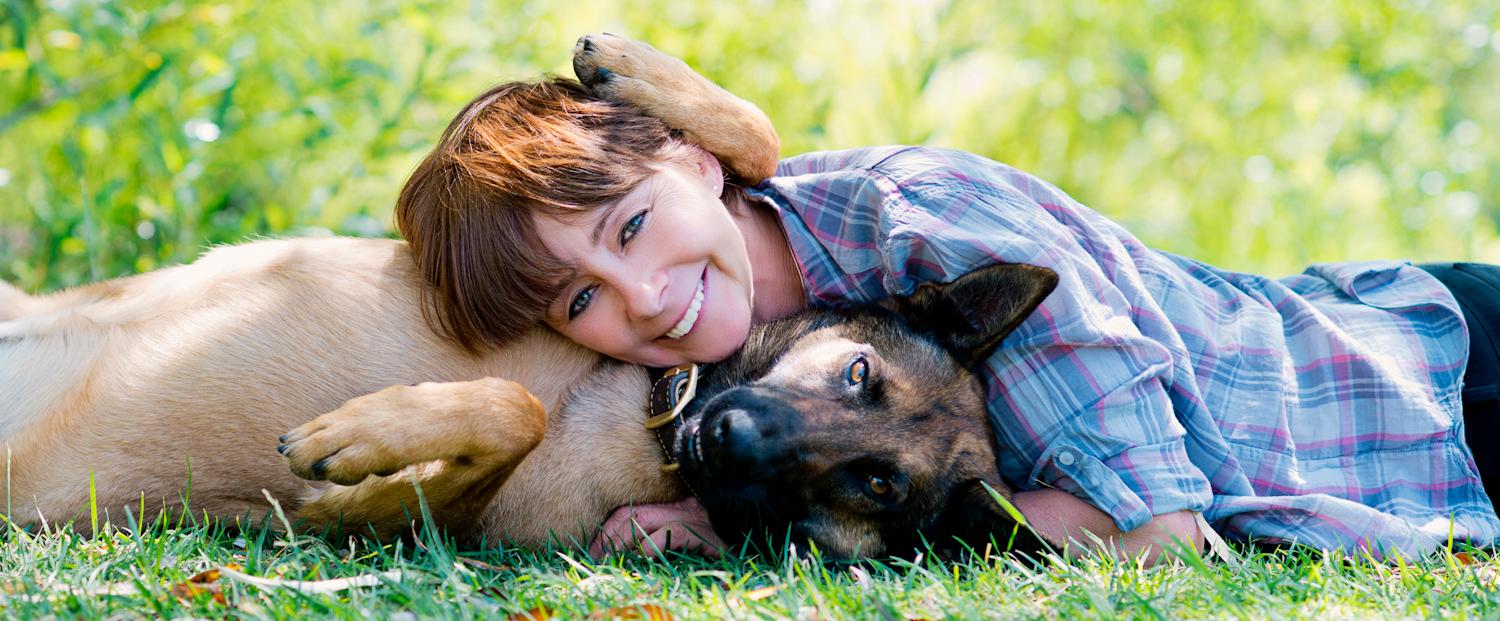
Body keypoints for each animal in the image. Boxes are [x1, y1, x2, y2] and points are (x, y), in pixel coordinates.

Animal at [0, 32, 1056, 558]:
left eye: (878, 485)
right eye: (859, 372)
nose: (733, 437)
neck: (649, 412)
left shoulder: (369, 526)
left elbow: (511, 415)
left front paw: (358, 439)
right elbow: (757, 146)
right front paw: (633, 72)